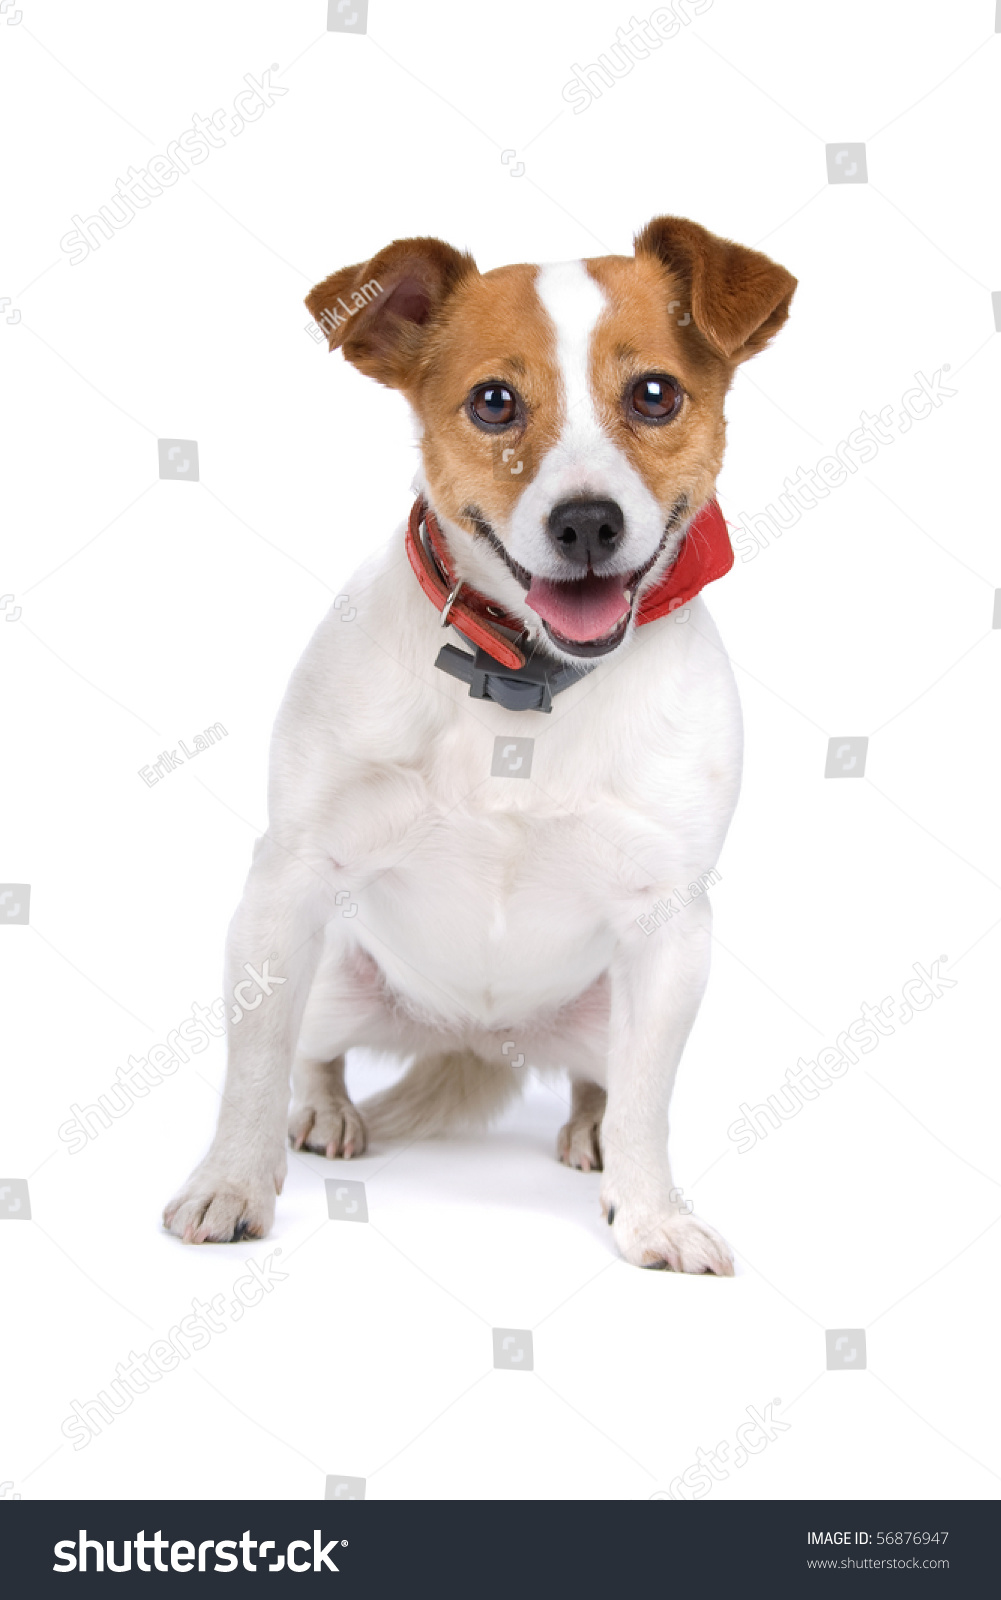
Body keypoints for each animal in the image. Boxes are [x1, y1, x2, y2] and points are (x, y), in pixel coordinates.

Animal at [163, 219, 789, 1273]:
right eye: (494, 402)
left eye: (653, 393)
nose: (587, 523)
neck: (527, 681)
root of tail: (476, 1037)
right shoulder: (286, 882)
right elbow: (251, 1069)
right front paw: (231, 1184)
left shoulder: (668, 929)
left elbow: (647, 1104)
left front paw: (651, 1212)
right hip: (332, 975)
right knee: (310, 1053)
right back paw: (325, 1114)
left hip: (608, 1005)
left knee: (603, 1081)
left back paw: (589, 1132)